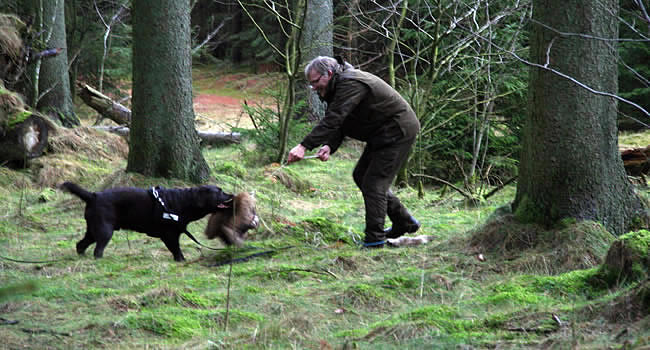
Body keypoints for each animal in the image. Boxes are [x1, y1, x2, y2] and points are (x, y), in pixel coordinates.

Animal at [60, 182, 233, 262]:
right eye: (220, 191)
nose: (231, 194)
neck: (185, 202)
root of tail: (93, 196)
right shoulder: (169, 235)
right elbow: (176, 250)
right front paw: (181, 261)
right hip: (104, 230)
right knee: (98, 249)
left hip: (92, 230)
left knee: (80, 244)